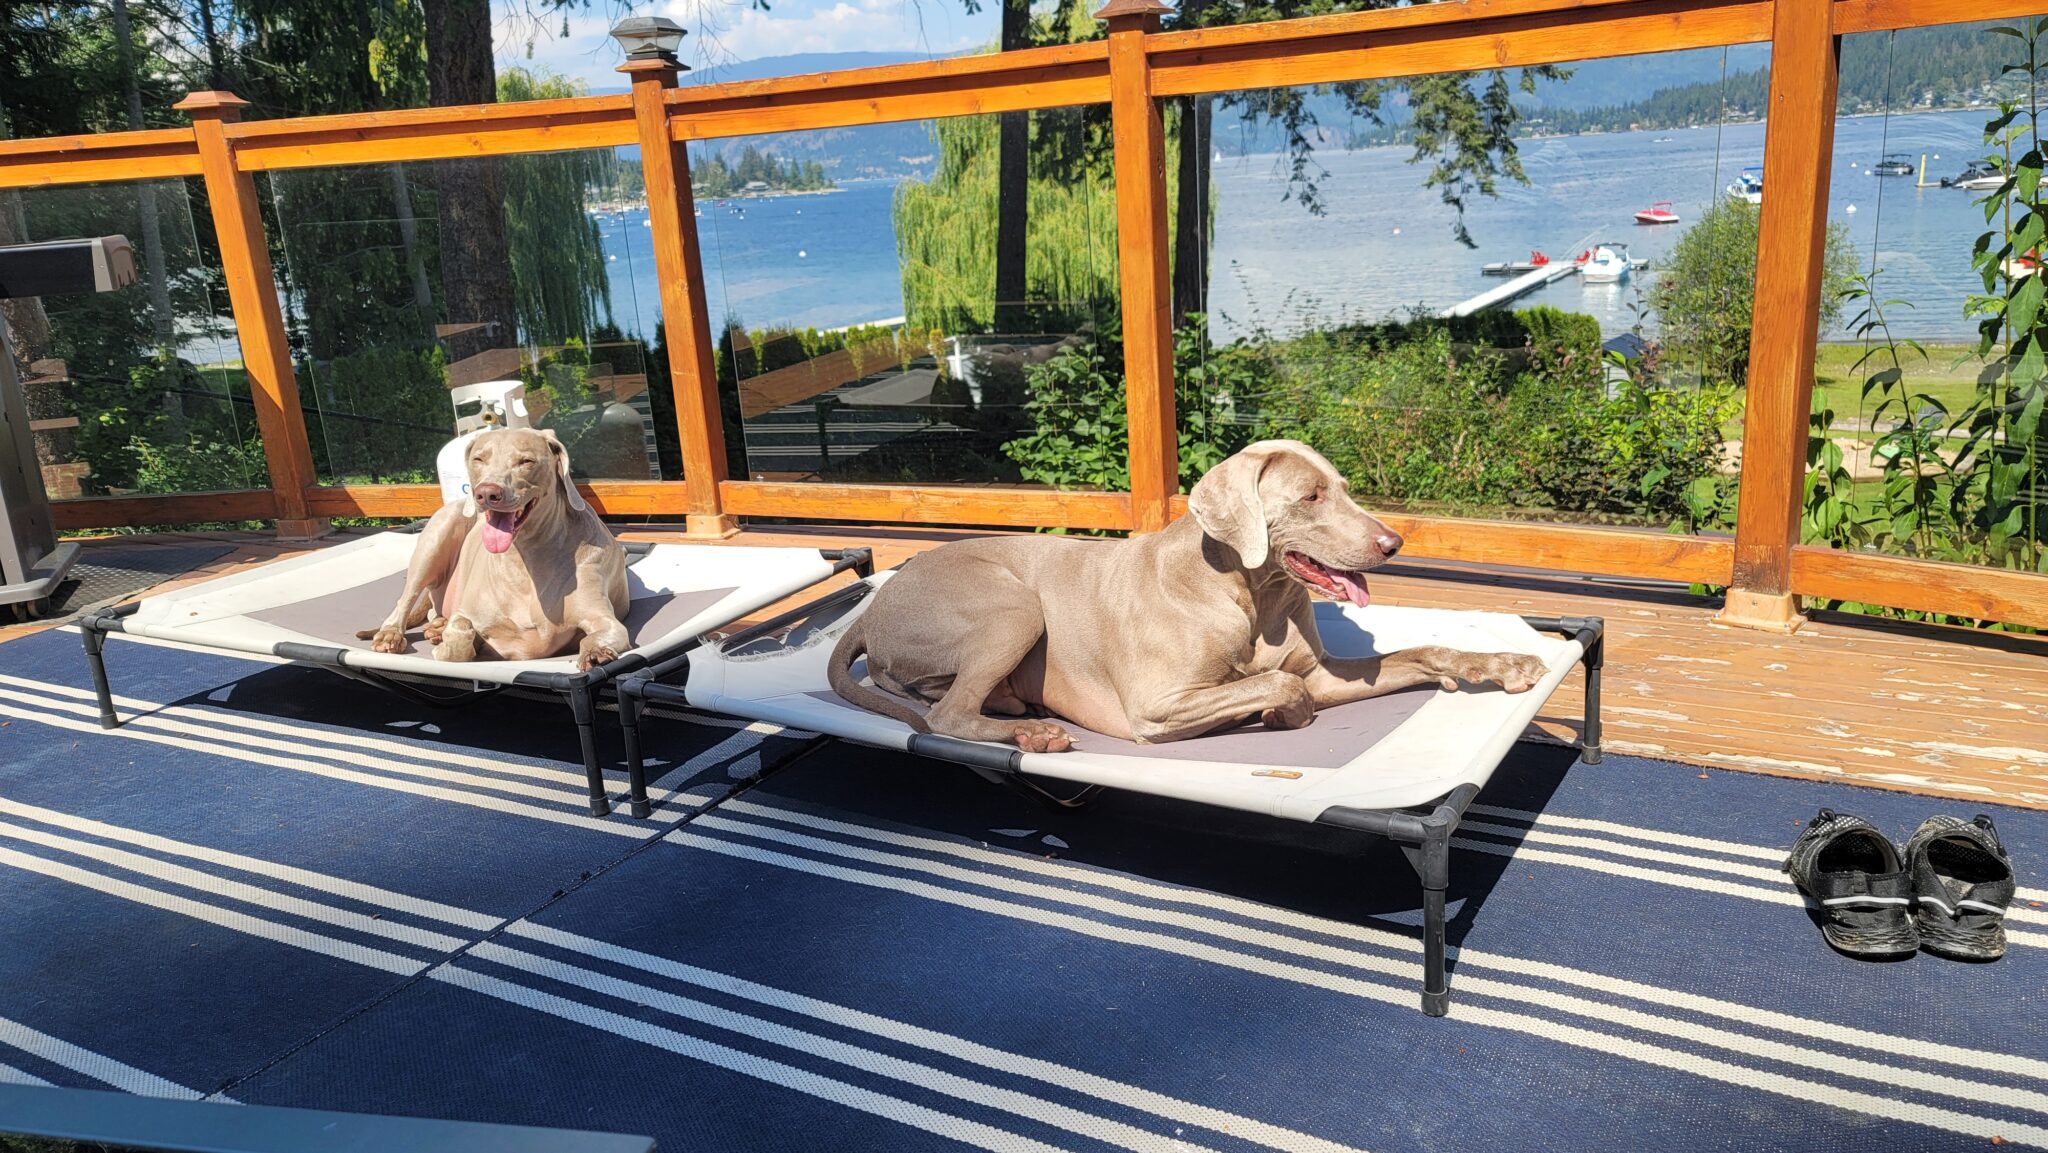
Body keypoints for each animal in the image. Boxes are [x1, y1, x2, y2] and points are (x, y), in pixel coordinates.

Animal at [360, 430, 626, 671]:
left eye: (526, 461)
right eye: (478, 459)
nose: (487, 493)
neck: (527, 559)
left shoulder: (606, 621)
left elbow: (599, 633)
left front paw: (594, 652)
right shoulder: (468, 613)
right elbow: (460, 634)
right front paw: (447, 644)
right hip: (438, 535)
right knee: (405, 600)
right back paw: (393, 633)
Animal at [823, 438, 1540, 753]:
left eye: (1342, 487)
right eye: (1310, 496)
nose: (1394, 542)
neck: (1250, 594)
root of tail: (875, 604)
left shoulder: (1325, 672)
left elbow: (1419, 651)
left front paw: (1500, 664)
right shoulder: (1155, 704)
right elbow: (1282, 685)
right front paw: (1278, 714)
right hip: (1012, 605)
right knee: (947, 715)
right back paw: (1033, 731)